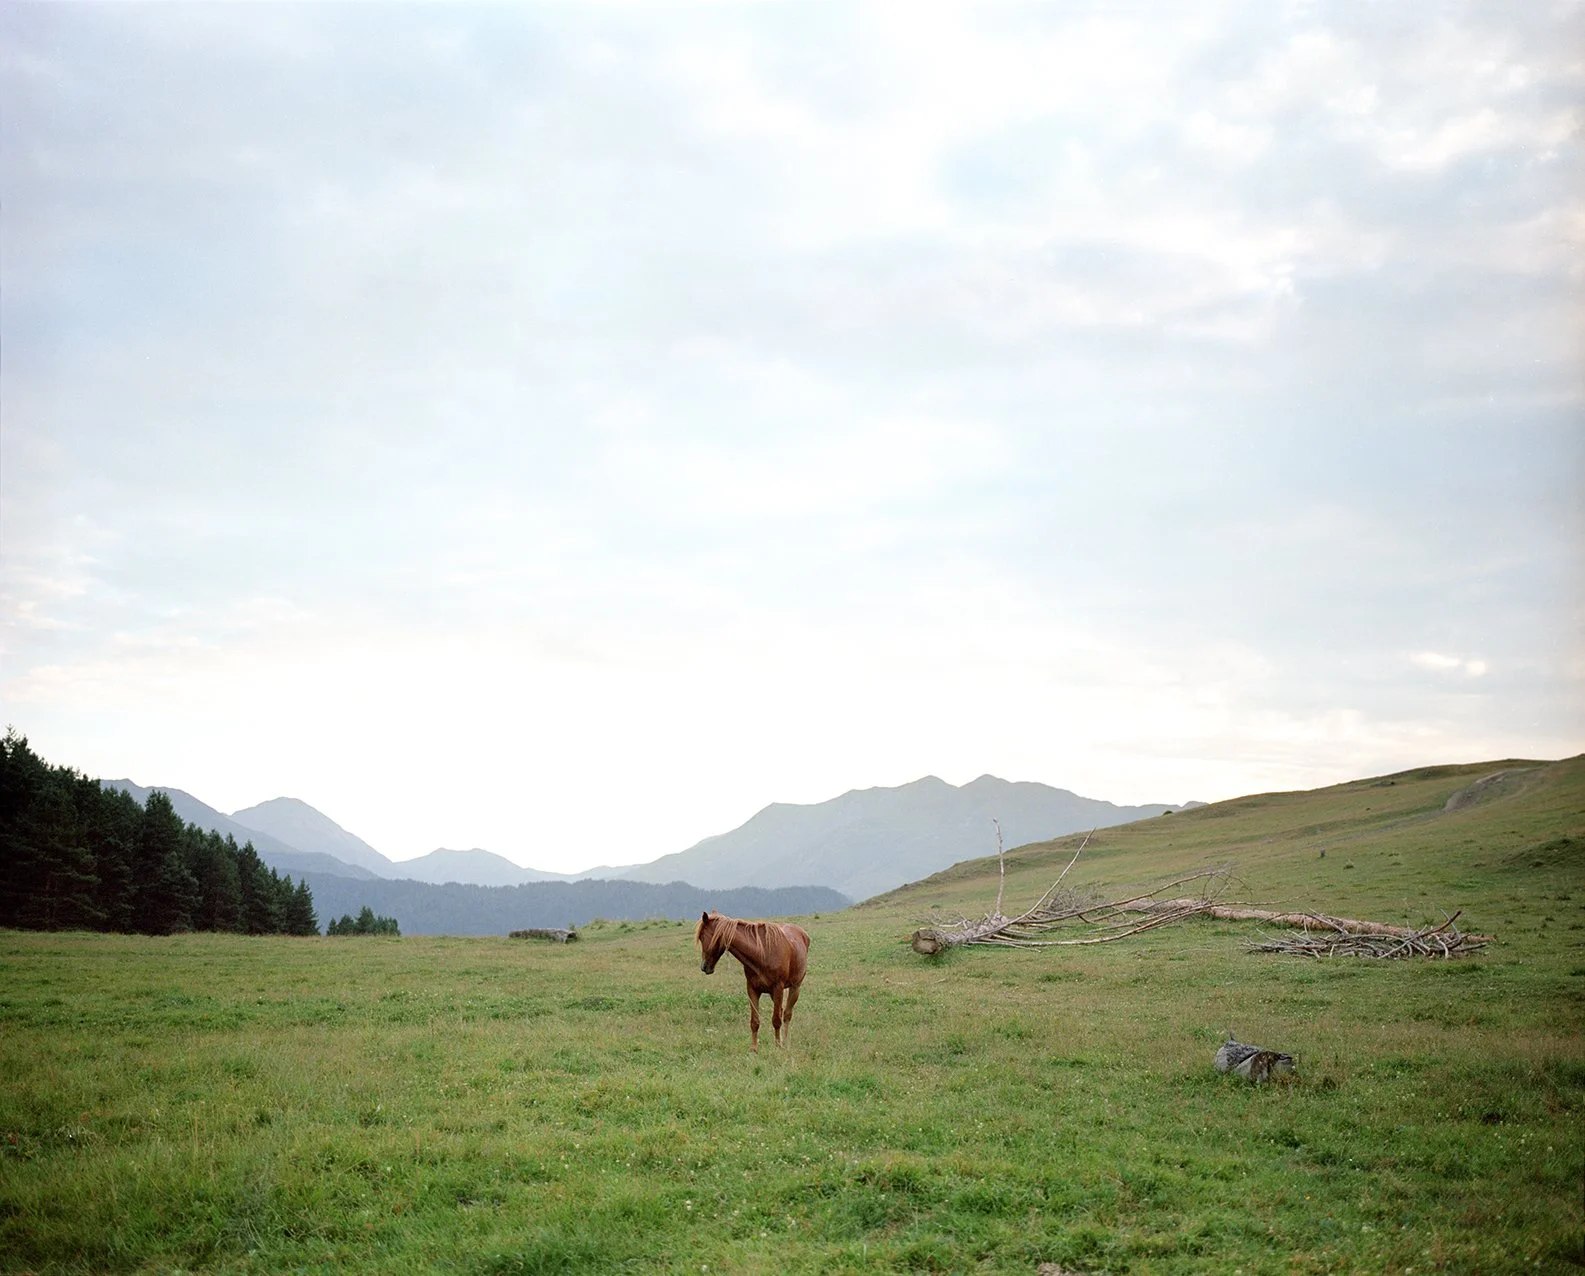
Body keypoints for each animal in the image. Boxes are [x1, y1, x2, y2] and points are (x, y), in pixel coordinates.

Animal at [695, 910, 810, 1052]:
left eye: (702, 937)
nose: (704, 966)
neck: (762, 953)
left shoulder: (778, 988)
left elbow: (776, 1020)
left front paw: (777, 1045)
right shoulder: (752, 989)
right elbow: (755, 1021)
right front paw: (754, 1048)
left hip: (795, 987)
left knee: (787, 1015)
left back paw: (785, 1042)